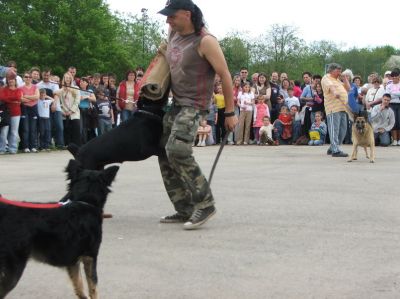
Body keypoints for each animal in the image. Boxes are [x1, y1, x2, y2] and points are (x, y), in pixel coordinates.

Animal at [0, 161, 119, 298]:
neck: (84, 201)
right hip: (13, 269)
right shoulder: (90, 256)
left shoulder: (73, 260)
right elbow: (93, 286)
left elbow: (78, 285)